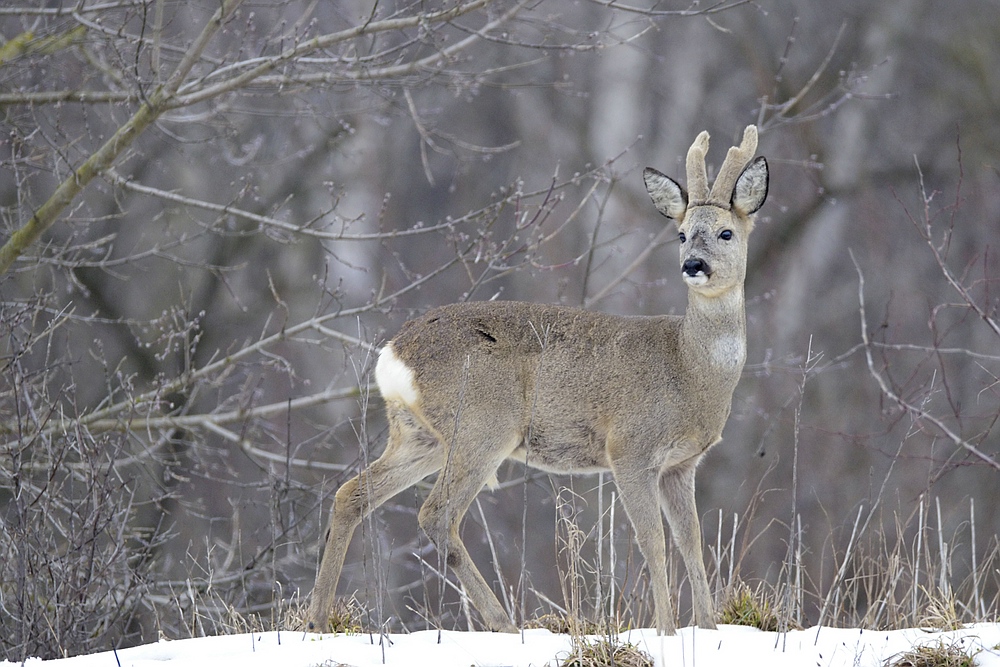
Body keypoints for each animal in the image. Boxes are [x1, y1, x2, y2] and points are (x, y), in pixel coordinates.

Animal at [308, 126, 768, 636]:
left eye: (727, 232)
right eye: (681, 234)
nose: (693, 265)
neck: (688, 369)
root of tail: (393, 355)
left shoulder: (681, 464)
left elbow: (692, 542)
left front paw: (707, 629)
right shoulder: (630, 447)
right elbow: (653, 541)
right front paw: (667, 632)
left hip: (420, 436)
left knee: (351, 494)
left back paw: (315, 620)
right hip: (483, 425)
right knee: (436, 515)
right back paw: (505, 627)